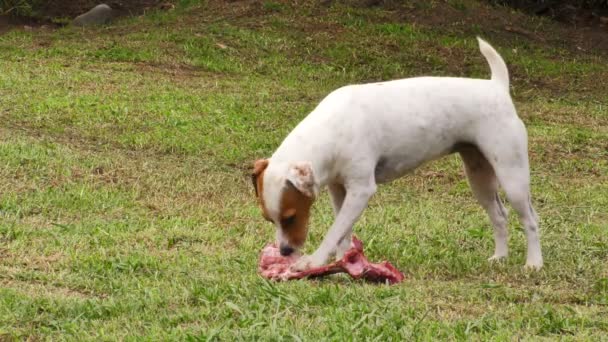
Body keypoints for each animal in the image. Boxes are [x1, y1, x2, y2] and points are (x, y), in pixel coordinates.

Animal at [249, 38, 544, 272]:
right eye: (269, 219)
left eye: (290, 217)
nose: (285, 251)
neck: (332, 130)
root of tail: (497, 87)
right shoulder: (338, 189)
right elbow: (343, 232)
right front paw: (344, 261)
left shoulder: (361, 190)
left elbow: (334, 231)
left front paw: (314, 261)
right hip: (479, 177)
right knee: (499, 216)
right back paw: (500, 257)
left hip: (512, 176)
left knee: (530, 219)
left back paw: (534, 263)